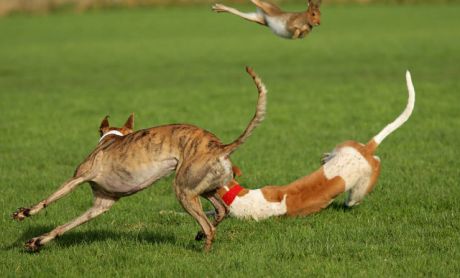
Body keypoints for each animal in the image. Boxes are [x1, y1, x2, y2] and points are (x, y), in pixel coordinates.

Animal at [217, 71, 416, 219]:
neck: (237, 195)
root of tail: (366, 149)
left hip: (359, 190)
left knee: (364, 182)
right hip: (344, 148)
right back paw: (326, 158)